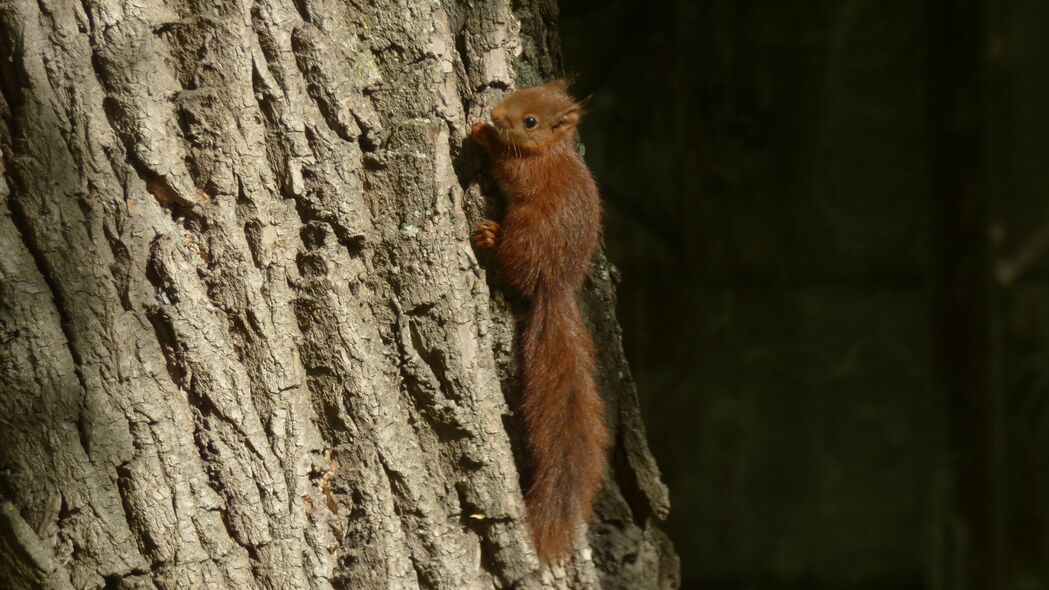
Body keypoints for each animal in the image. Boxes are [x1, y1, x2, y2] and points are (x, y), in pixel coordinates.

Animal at [472, 80, 612, 558]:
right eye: (523, 89)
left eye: (530, 122)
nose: (498, 114)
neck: (549, 152)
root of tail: (553, 286)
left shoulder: (529, 174)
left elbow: (509, 169)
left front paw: (484, 136)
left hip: (526, 229)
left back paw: (490, 236)